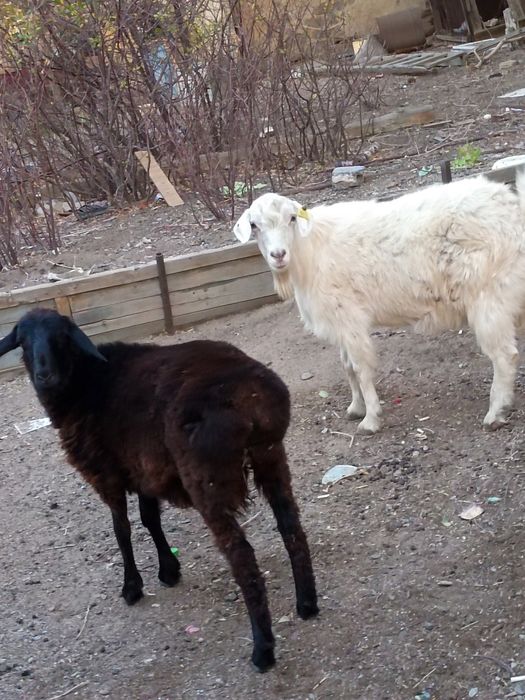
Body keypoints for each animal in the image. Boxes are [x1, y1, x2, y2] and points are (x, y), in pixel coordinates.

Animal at [0, 308, 318, 671]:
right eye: (23, 341)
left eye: (62, 338)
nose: (44, 375)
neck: (82, 383)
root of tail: (250, 399)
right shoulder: (144, 468)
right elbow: (149, 518)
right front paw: (168, 569)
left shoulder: (107, 473)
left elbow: (122, 529)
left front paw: (132, 587)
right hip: (271, 456)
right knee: (292, 529)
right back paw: (307, 604)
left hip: (206, 479)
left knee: (242, 557)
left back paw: (262, 650)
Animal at [234, 173, 525, 434]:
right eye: (255, 225)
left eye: (292, 218)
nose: (278, 254)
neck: (309, 251)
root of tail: (513, 209)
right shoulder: (340, 323)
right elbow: (347, 366)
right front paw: (355, 408)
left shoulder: (349, 317)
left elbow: (360, 368)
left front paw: (371, 419)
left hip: (488, 296)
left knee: (504, 355)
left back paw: (495, 413)